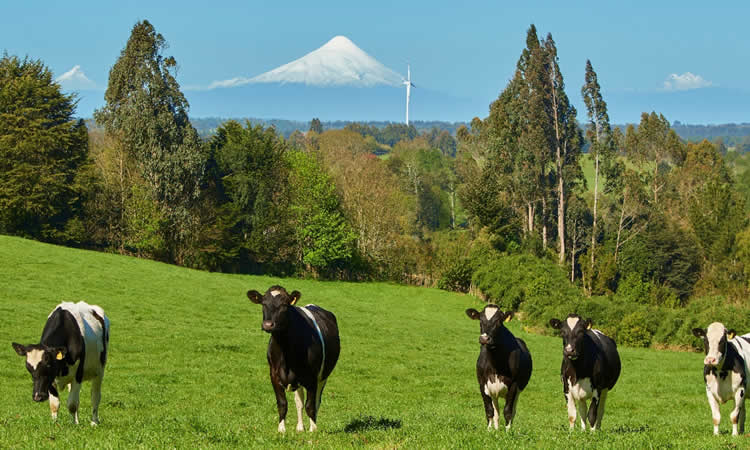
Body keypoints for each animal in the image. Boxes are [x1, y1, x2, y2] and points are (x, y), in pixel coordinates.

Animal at [248, 284, 342, 432]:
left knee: (316, 402)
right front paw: (281, 429)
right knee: (299, 402)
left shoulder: (313, 378)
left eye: (284, 305)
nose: (268, 325)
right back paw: (300, 427)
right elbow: (282, 404)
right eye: (263, 303)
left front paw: (313, 430)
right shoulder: (273, 375)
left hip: (323, 377)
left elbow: (310, 405)